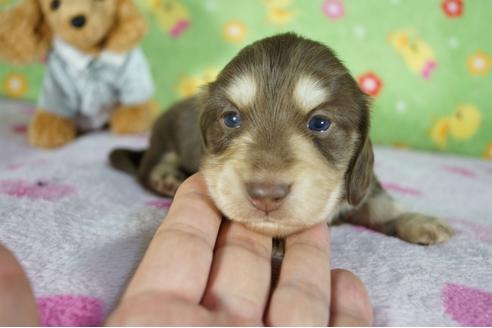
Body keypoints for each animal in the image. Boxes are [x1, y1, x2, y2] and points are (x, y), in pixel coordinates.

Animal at [111, 33, 454, 243]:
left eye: (319, 122)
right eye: (231, 119)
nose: (265, 194)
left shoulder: (359, 184)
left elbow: (382, 204)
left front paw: (419, 220)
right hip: (163, 138)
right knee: (147, 166)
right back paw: (165, 177)